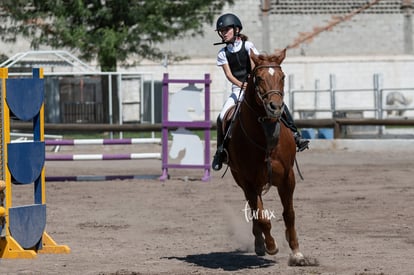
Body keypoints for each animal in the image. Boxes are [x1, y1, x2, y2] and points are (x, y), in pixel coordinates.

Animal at [225, 49, 306, 266]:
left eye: (283, 77)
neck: (266, 136)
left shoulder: (288, 178)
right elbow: (261, 217)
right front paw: (270, 246)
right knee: (255, 212)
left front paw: (297, 253)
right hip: (243, 181)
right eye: (259, 78)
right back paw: (260, 244)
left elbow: (289, 214)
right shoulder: (249, 182)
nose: (275, 107)